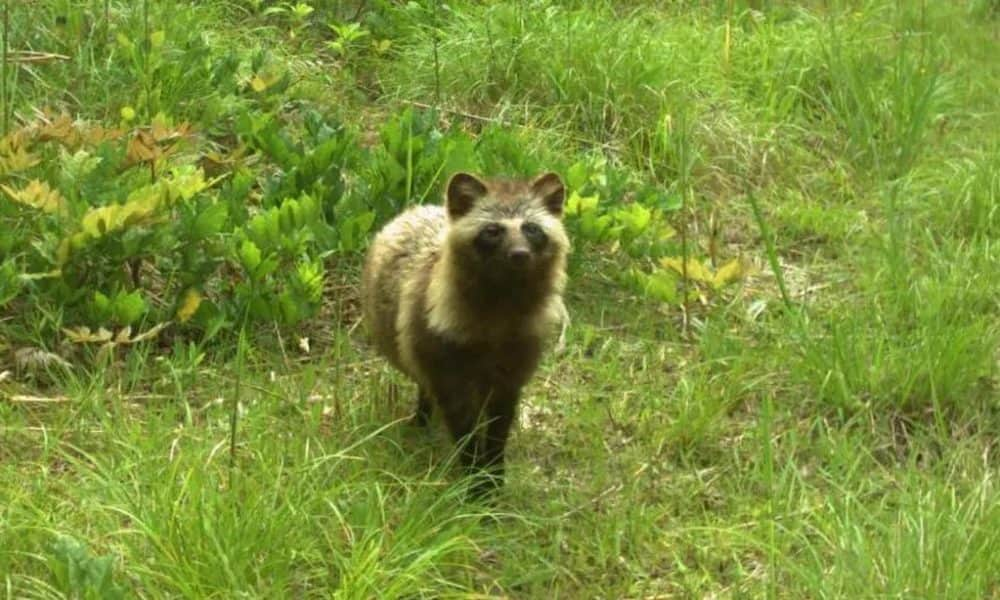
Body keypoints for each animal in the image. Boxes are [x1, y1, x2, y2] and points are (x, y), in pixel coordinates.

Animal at [364, 171, 572, 494]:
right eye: (492, 231)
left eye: (532, 228)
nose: (520, 255)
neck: (503, 301)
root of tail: (418, 209)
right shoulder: (443, 359)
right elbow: (463, 426)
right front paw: (475, 477)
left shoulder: (513, 364)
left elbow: (499, 426)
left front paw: (494, 472)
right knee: (424, 383)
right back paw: (423, 416)